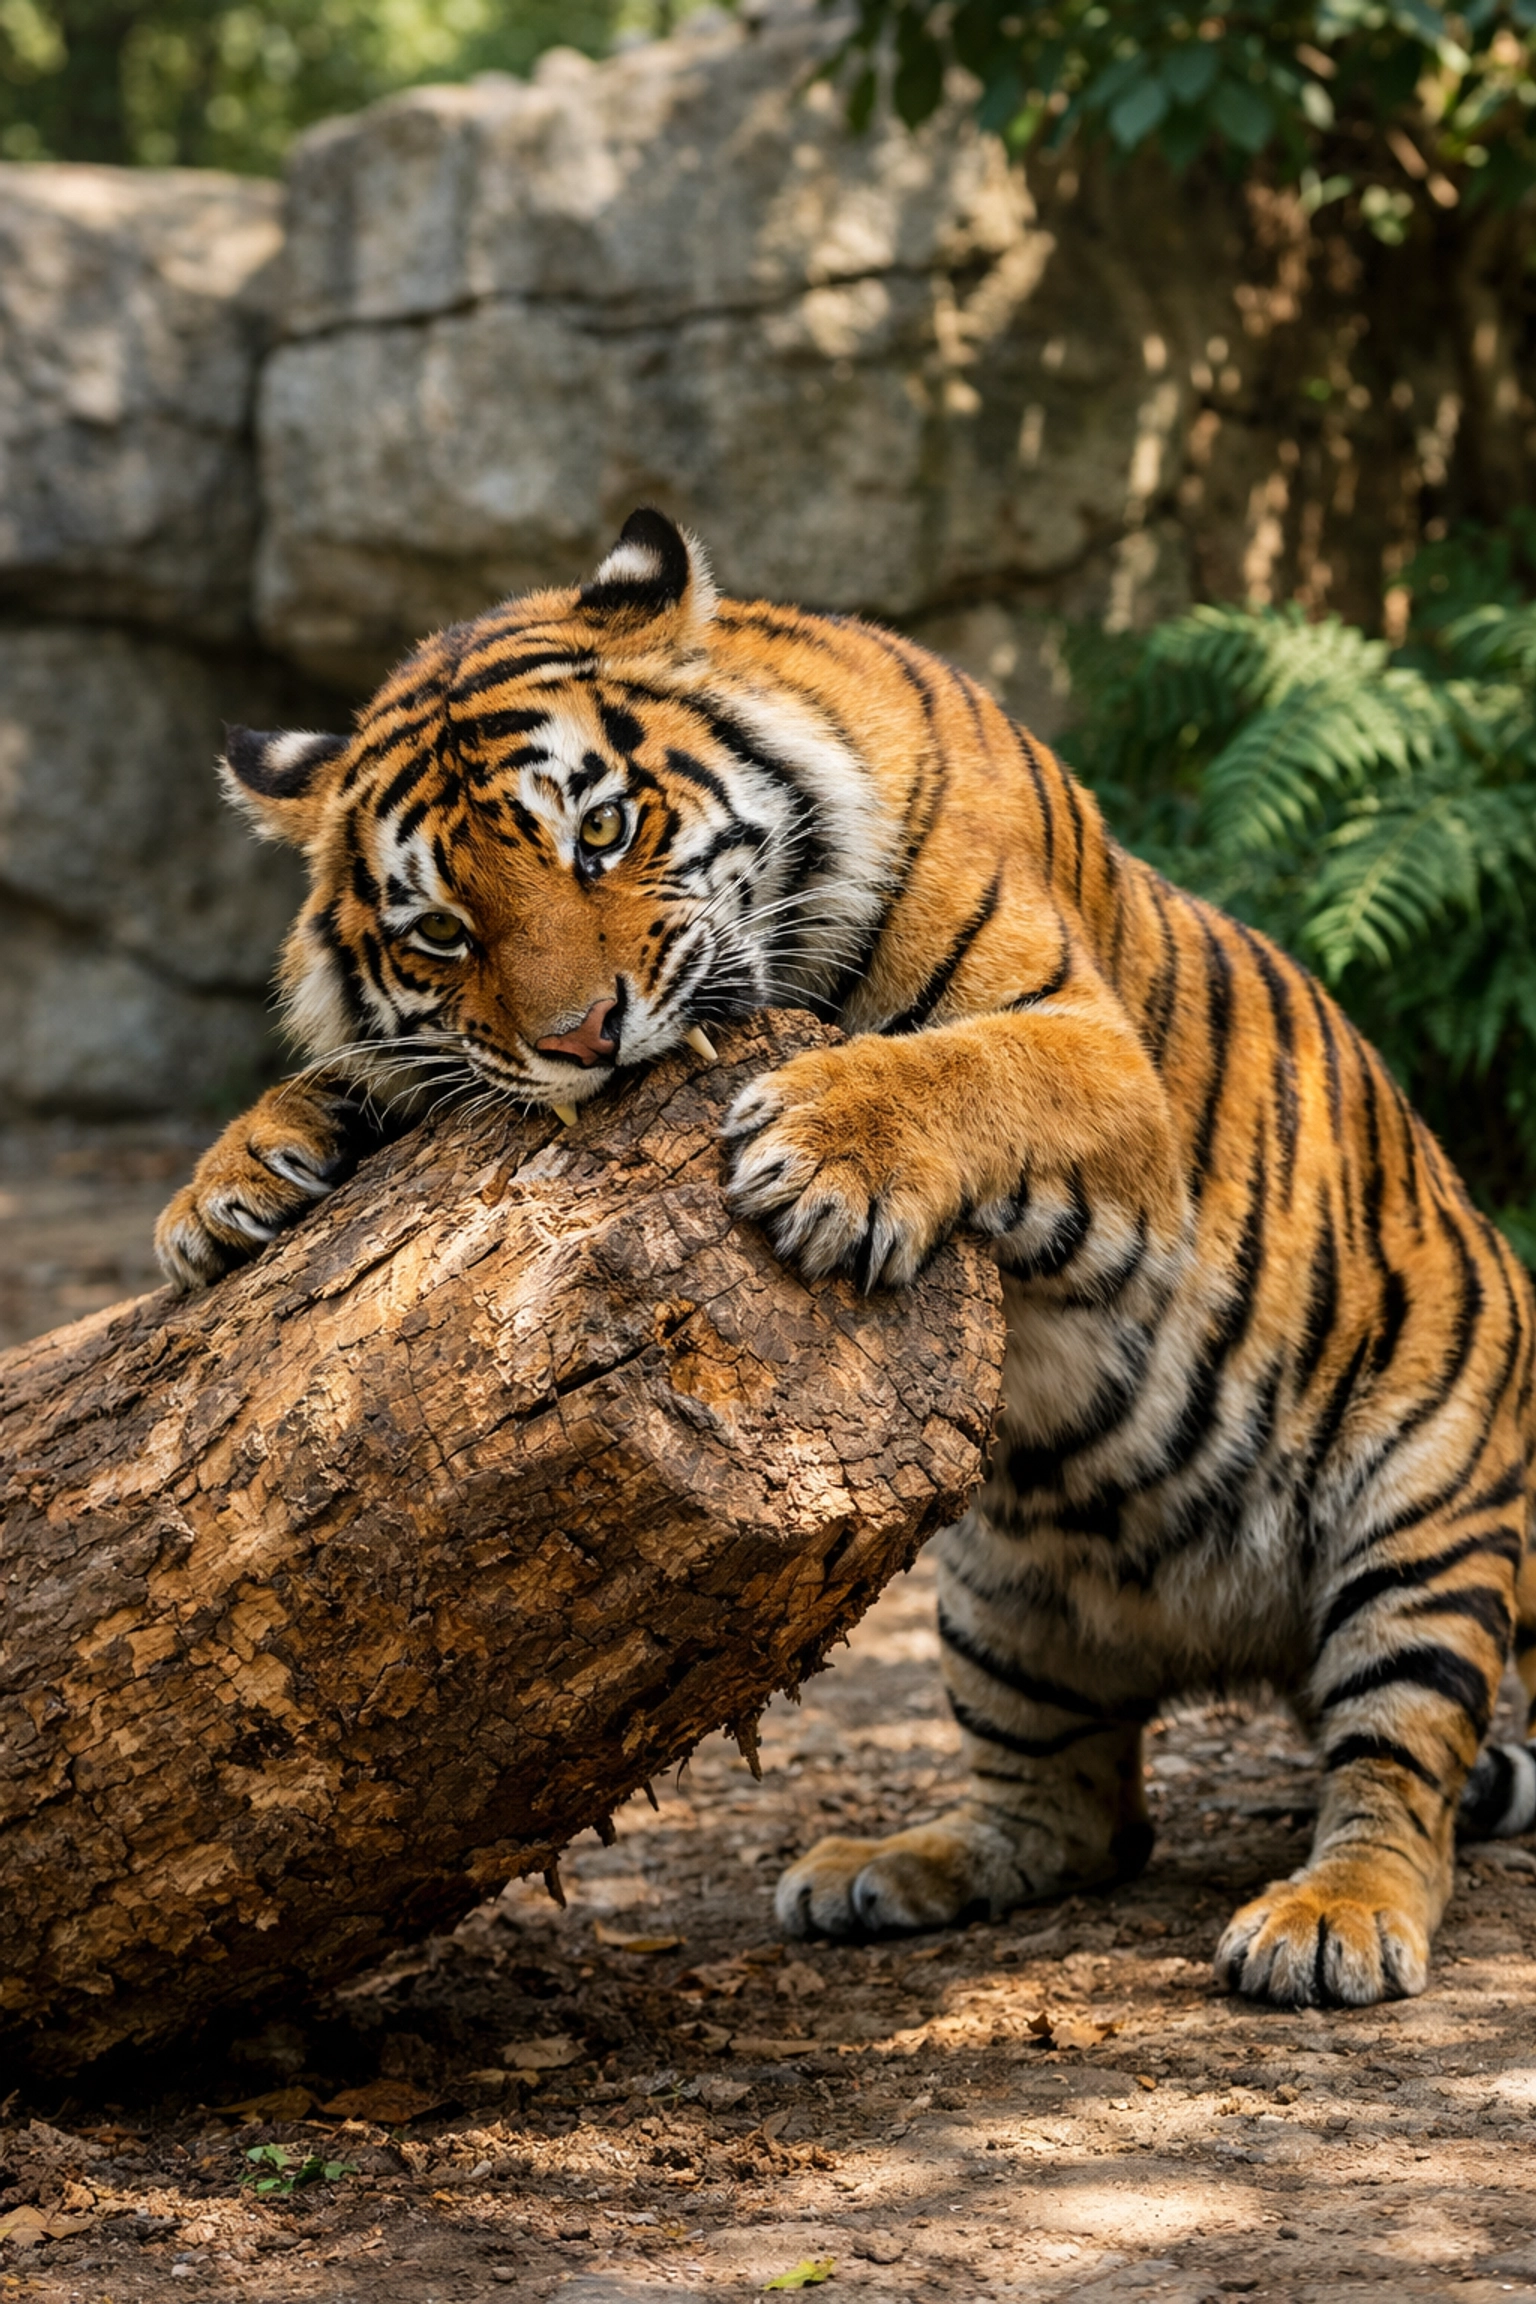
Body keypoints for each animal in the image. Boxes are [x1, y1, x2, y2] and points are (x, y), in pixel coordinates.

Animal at [156, 507, 1536, 2007]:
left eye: (602, 833)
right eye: (441, 931)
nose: (583, 1038)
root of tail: (1232, 1640)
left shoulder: (1102, 1059)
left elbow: (974, 1065)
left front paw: (830, 1145)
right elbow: (365, 1072)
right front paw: (226, 1187)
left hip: (1420, 1535)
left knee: (1397, 1772)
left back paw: (1332, 1920)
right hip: (998, 1601)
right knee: (1074, 1819)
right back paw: (884, 1868)